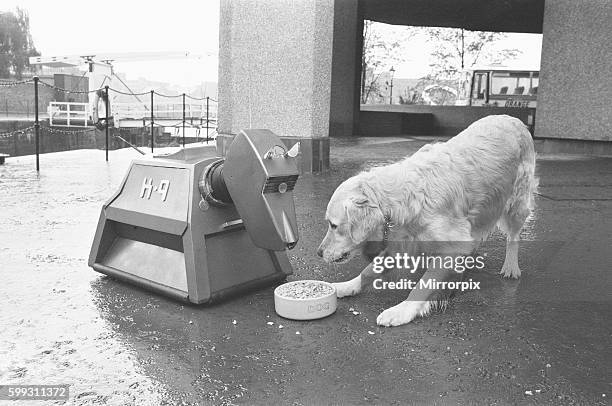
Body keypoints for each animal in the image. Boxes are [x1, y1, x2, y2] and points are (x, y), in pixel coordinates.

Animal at [318, 114, 536, 326]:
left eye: (333, 225)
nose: (319, 253)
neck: (403, 198)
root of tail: (513, 119)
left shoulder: (450, 246)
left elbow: (423, 285)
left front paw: (401, 311)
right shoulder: (402, 241)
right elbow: (369, 270)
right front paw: (348, 286)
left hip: (518, 202)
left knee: (514, 236)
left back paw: (511, 267)